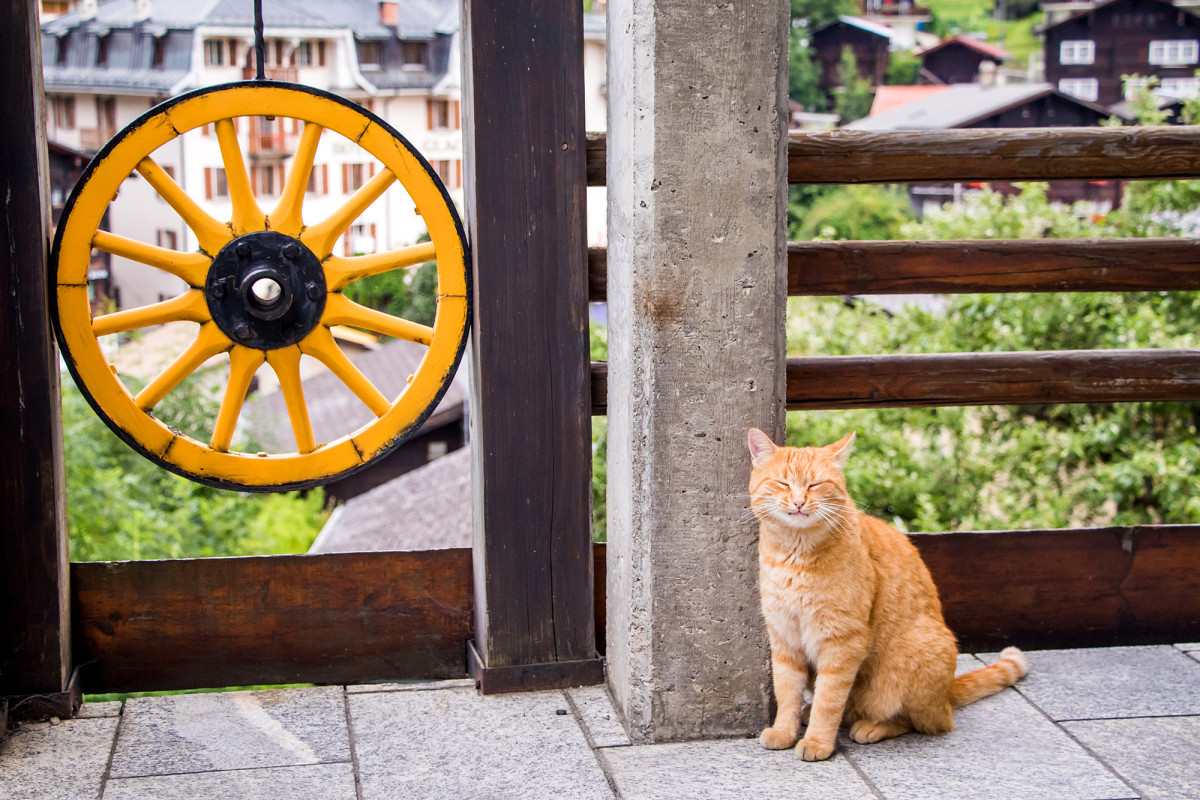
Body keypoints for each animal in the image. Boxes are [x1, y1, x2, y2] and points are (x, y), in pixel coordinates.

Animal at [744, 429, 1027, 762]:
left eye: (816, 484)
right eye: (783, 483)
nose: (800, 502)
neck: (794, 553)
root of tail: (946, 693)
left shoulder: (842, 641)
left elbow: (829, 700)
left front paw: (817, 742)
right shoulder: (784, 637)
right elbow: (786, 692)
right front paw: (784, 732)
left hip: (912, 660)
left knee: (925, 722)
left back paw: (872, 727)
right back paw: (813, 712)